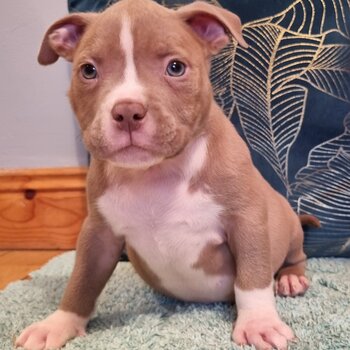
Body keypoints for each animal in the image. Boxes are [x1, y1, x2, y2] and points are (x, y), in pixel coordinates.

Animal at [15, 1, 314, 348]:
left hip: (287, 224)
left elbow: (252, 276)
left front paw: (259, 323)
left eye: (176, 67)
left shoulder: (247, 220)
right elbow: (82, 280)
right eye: (88, 71)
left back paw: (291, 279)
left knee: (295, 255)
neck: (156, 172)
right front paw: (59, 323)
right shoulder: (98, 232)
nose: (127, 111)